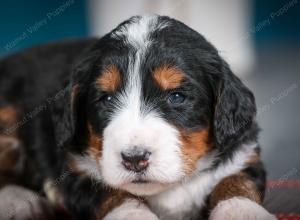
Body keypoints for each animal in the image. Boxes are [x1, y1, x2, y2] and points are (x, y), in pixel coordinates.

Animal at [0, 14, 276, 219]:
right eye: (106, 99)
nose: (134, 159)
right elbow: (116, 194)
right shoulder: (76, 170)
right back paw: (19, 202)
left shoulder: (243, 155)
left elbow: (236, 183)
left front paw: (242, 211)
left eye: (176, 97)